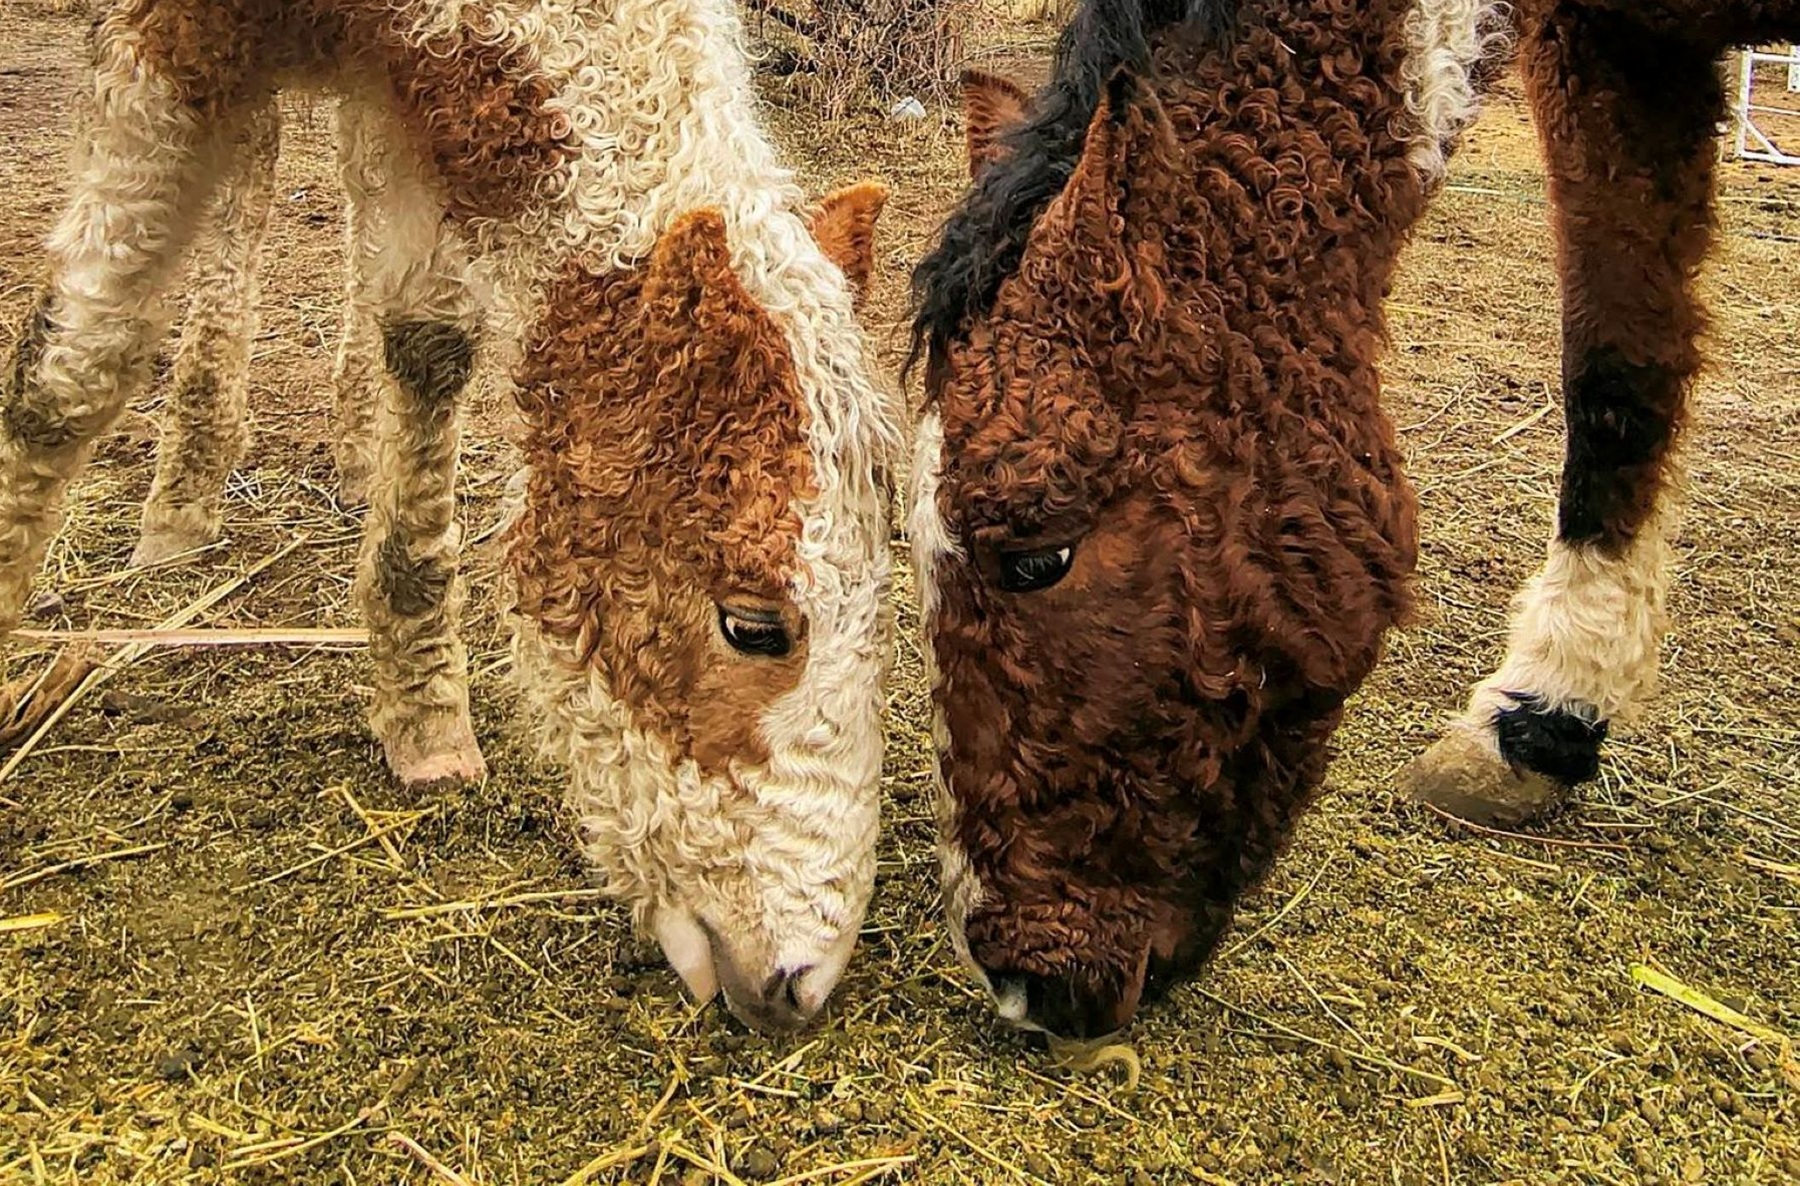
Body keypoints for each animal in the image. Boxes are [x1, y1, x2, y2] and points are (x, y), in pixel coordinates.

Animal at [0, 0, 900, 1034]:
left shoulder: (423, 80)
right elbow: (73, 370)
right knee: (252, 175)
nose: (803, 984)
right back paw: (183, 495)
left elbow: (428, 342)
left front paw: (424, 705)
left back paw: (349, 441)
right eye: (753, 626)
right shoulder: (157, 37)